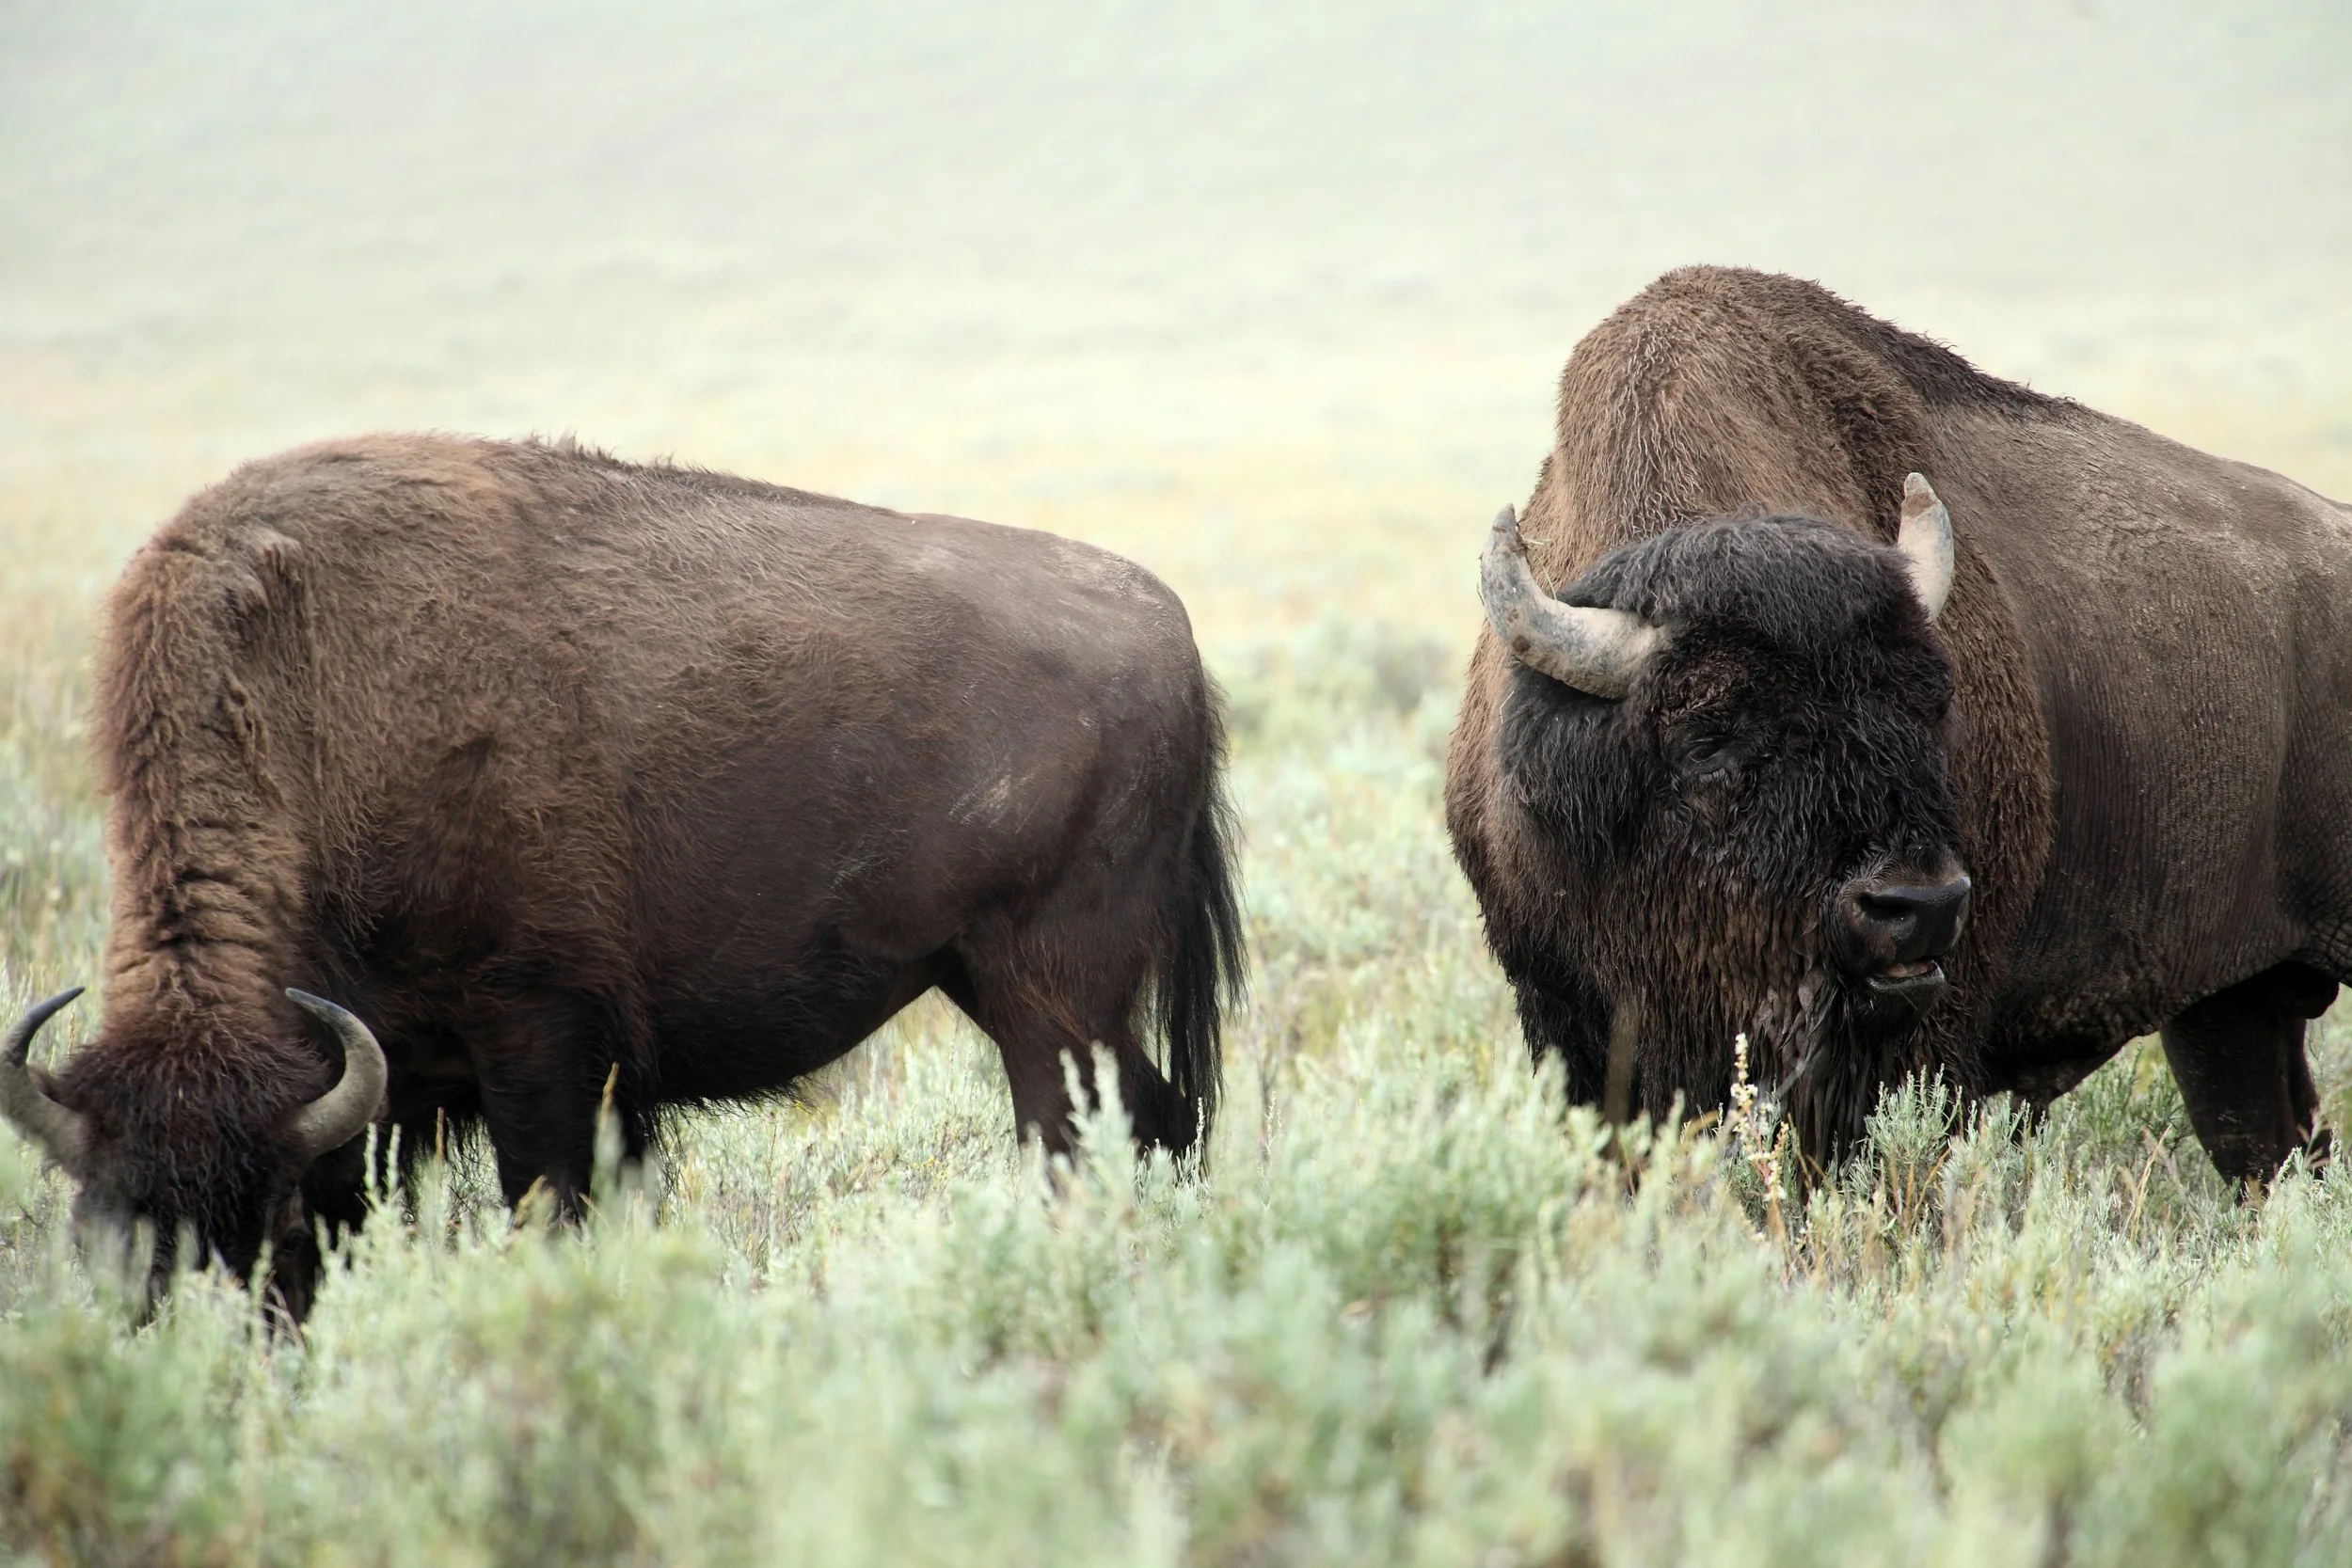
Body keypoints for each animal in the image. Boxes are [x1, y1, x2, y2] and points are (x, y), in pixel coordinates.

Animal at [3, 434, 1242, 1316]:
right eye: (101, 1229)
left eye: (265, 1227)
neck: (301, 698)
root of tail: (1174, 631)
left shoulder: (538, 1038)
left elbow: (546, 1205)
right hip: (998, 985)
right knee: (1163, 1116)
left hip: (1051, 1000)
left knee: (1079, 1142)